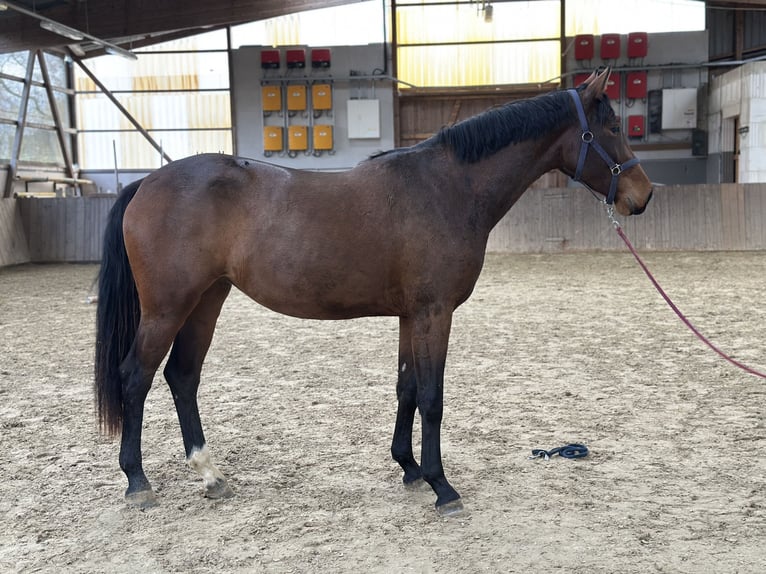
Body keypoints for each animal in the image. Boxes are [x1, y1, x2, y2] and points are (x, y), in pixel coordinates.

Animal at [95, 69, 653, 516]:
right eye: (612, 128)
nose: (642, 196)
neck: (447, 188)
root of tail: (147, 183)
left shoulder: (411, 315)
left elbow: (406, 388)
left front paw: (409, 469)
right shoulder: (434, 313)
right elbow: (431, 397)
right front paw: (442, 487)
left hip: (206, 301)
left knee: (182, 377)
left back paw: (210, 476)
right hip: (167, 308)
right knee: (136, 377)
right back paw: (138, 482)